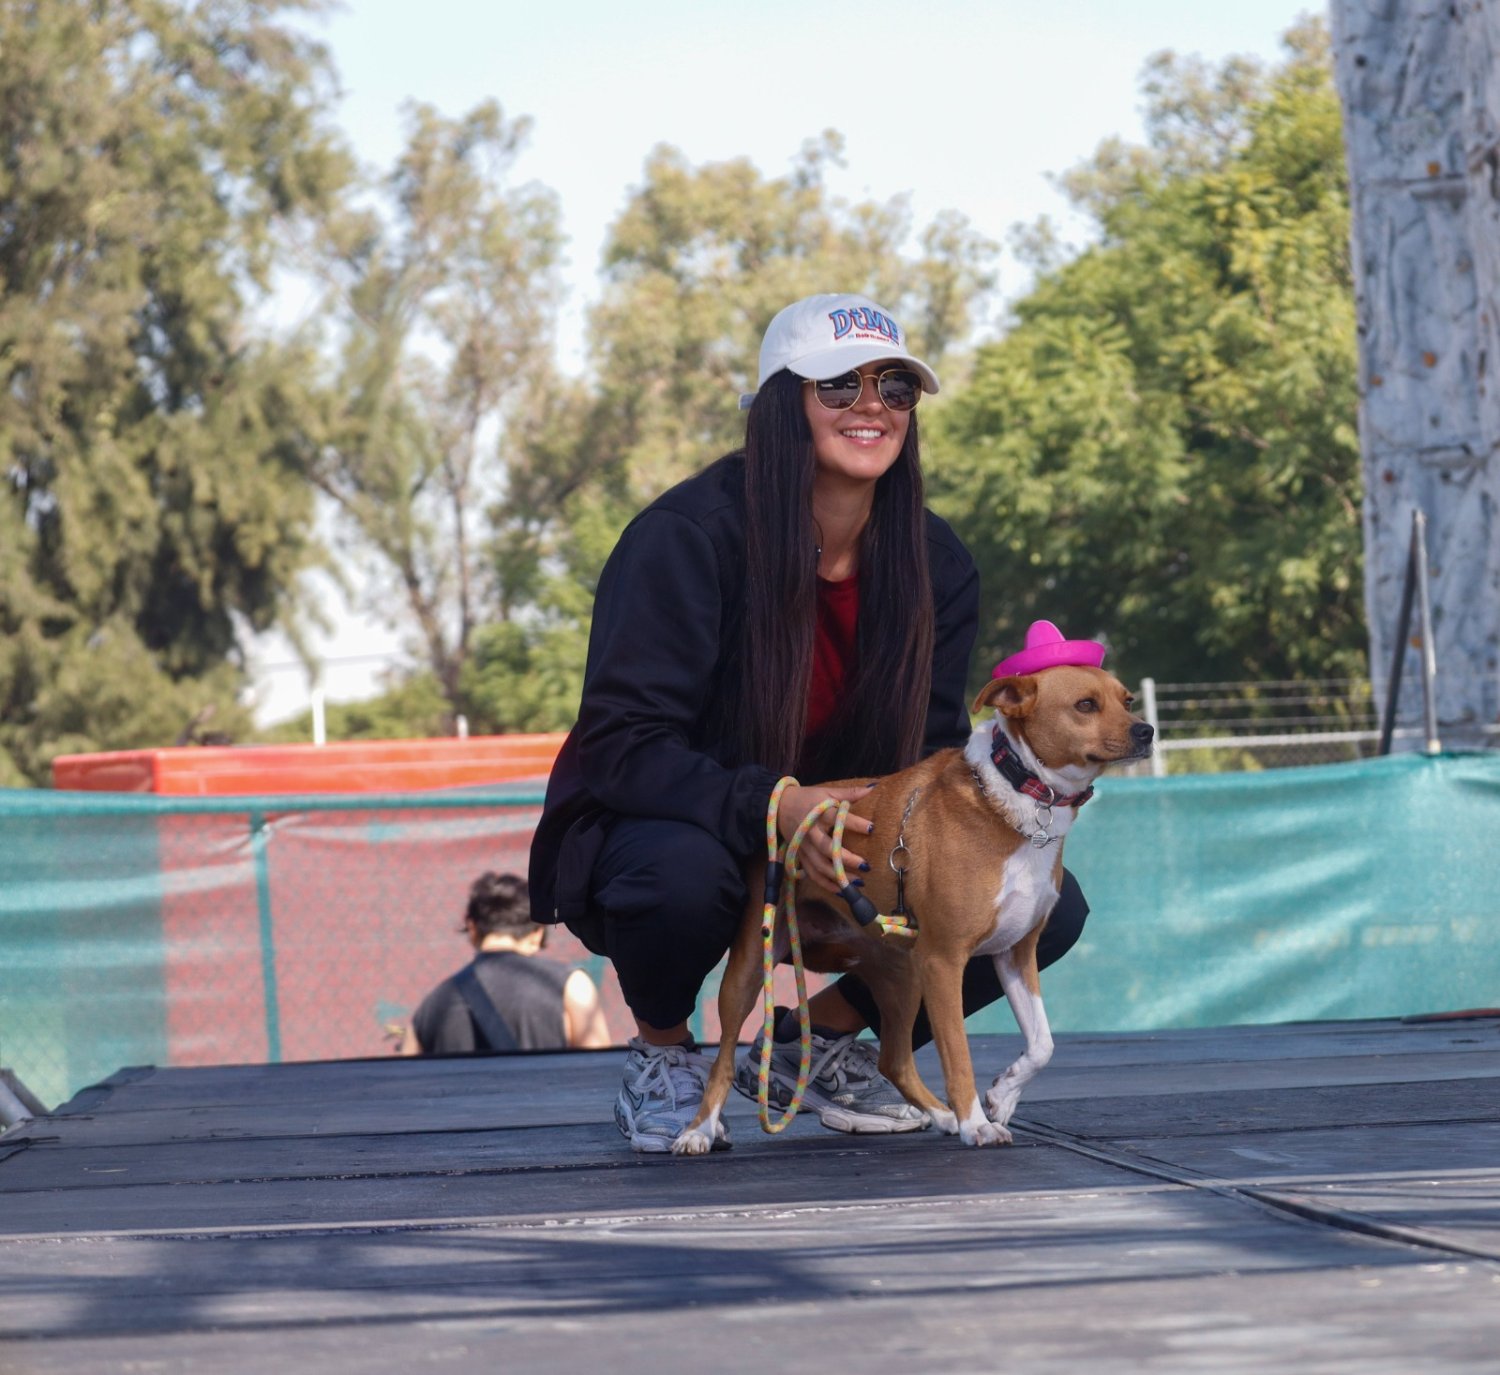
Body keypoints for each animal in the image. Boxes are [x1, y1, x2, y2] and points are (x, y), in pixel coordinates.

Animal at [673, 660, 1153, 1153]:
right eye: (1085, 705)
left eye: (1128, 700)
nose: (1146, 731)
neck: (1016, 795)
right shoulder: (945, 960)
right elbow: (958, 1055)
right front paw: (977, 1124)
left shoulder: (1016, 953)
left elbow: (1043, 1044)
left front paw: (1001, 1096)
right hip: (753, 966)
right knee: (723, 1060)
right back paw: (699, 1130)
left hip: (901, 975)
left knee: (894, 1060)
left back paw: (941, 1116)